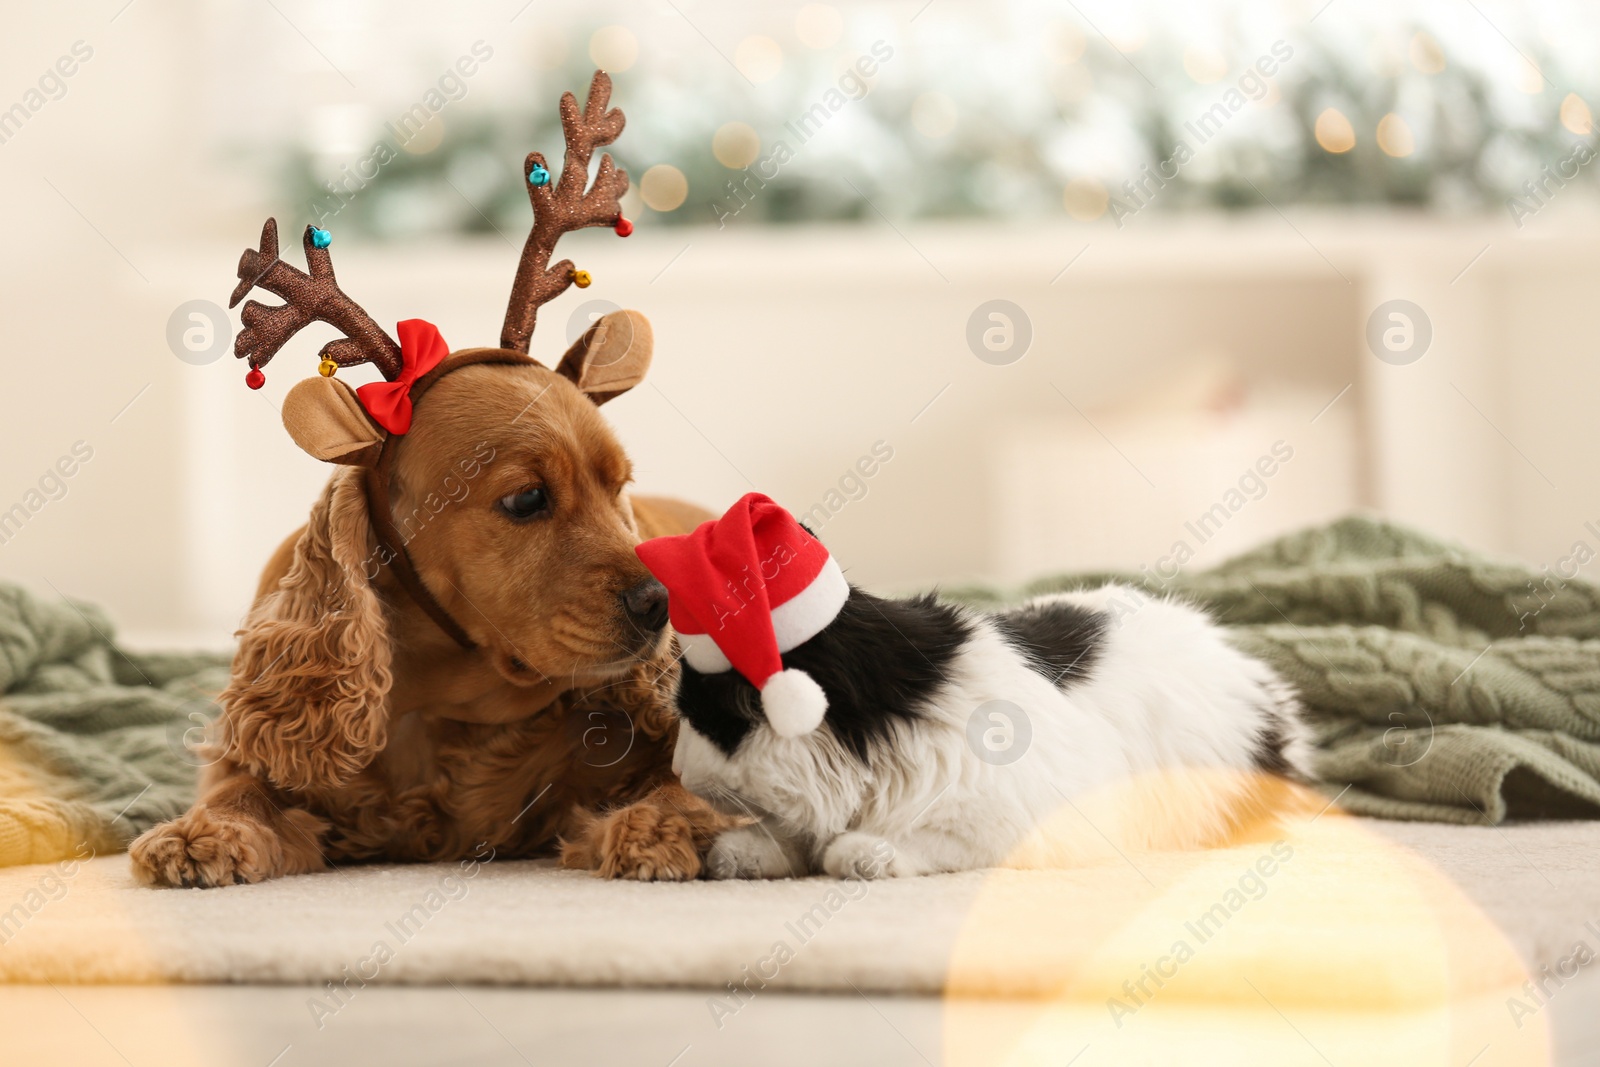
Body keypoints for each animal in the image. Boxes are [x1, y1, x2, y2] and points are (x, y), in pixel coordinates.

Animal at [672, 585, 1312, 876]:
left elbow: (894, 842)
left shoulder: (1018, 822)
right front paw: (742, 853)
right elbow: (789, 834)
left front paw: (859, 853)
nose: (675, 767)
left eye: (704, 720)